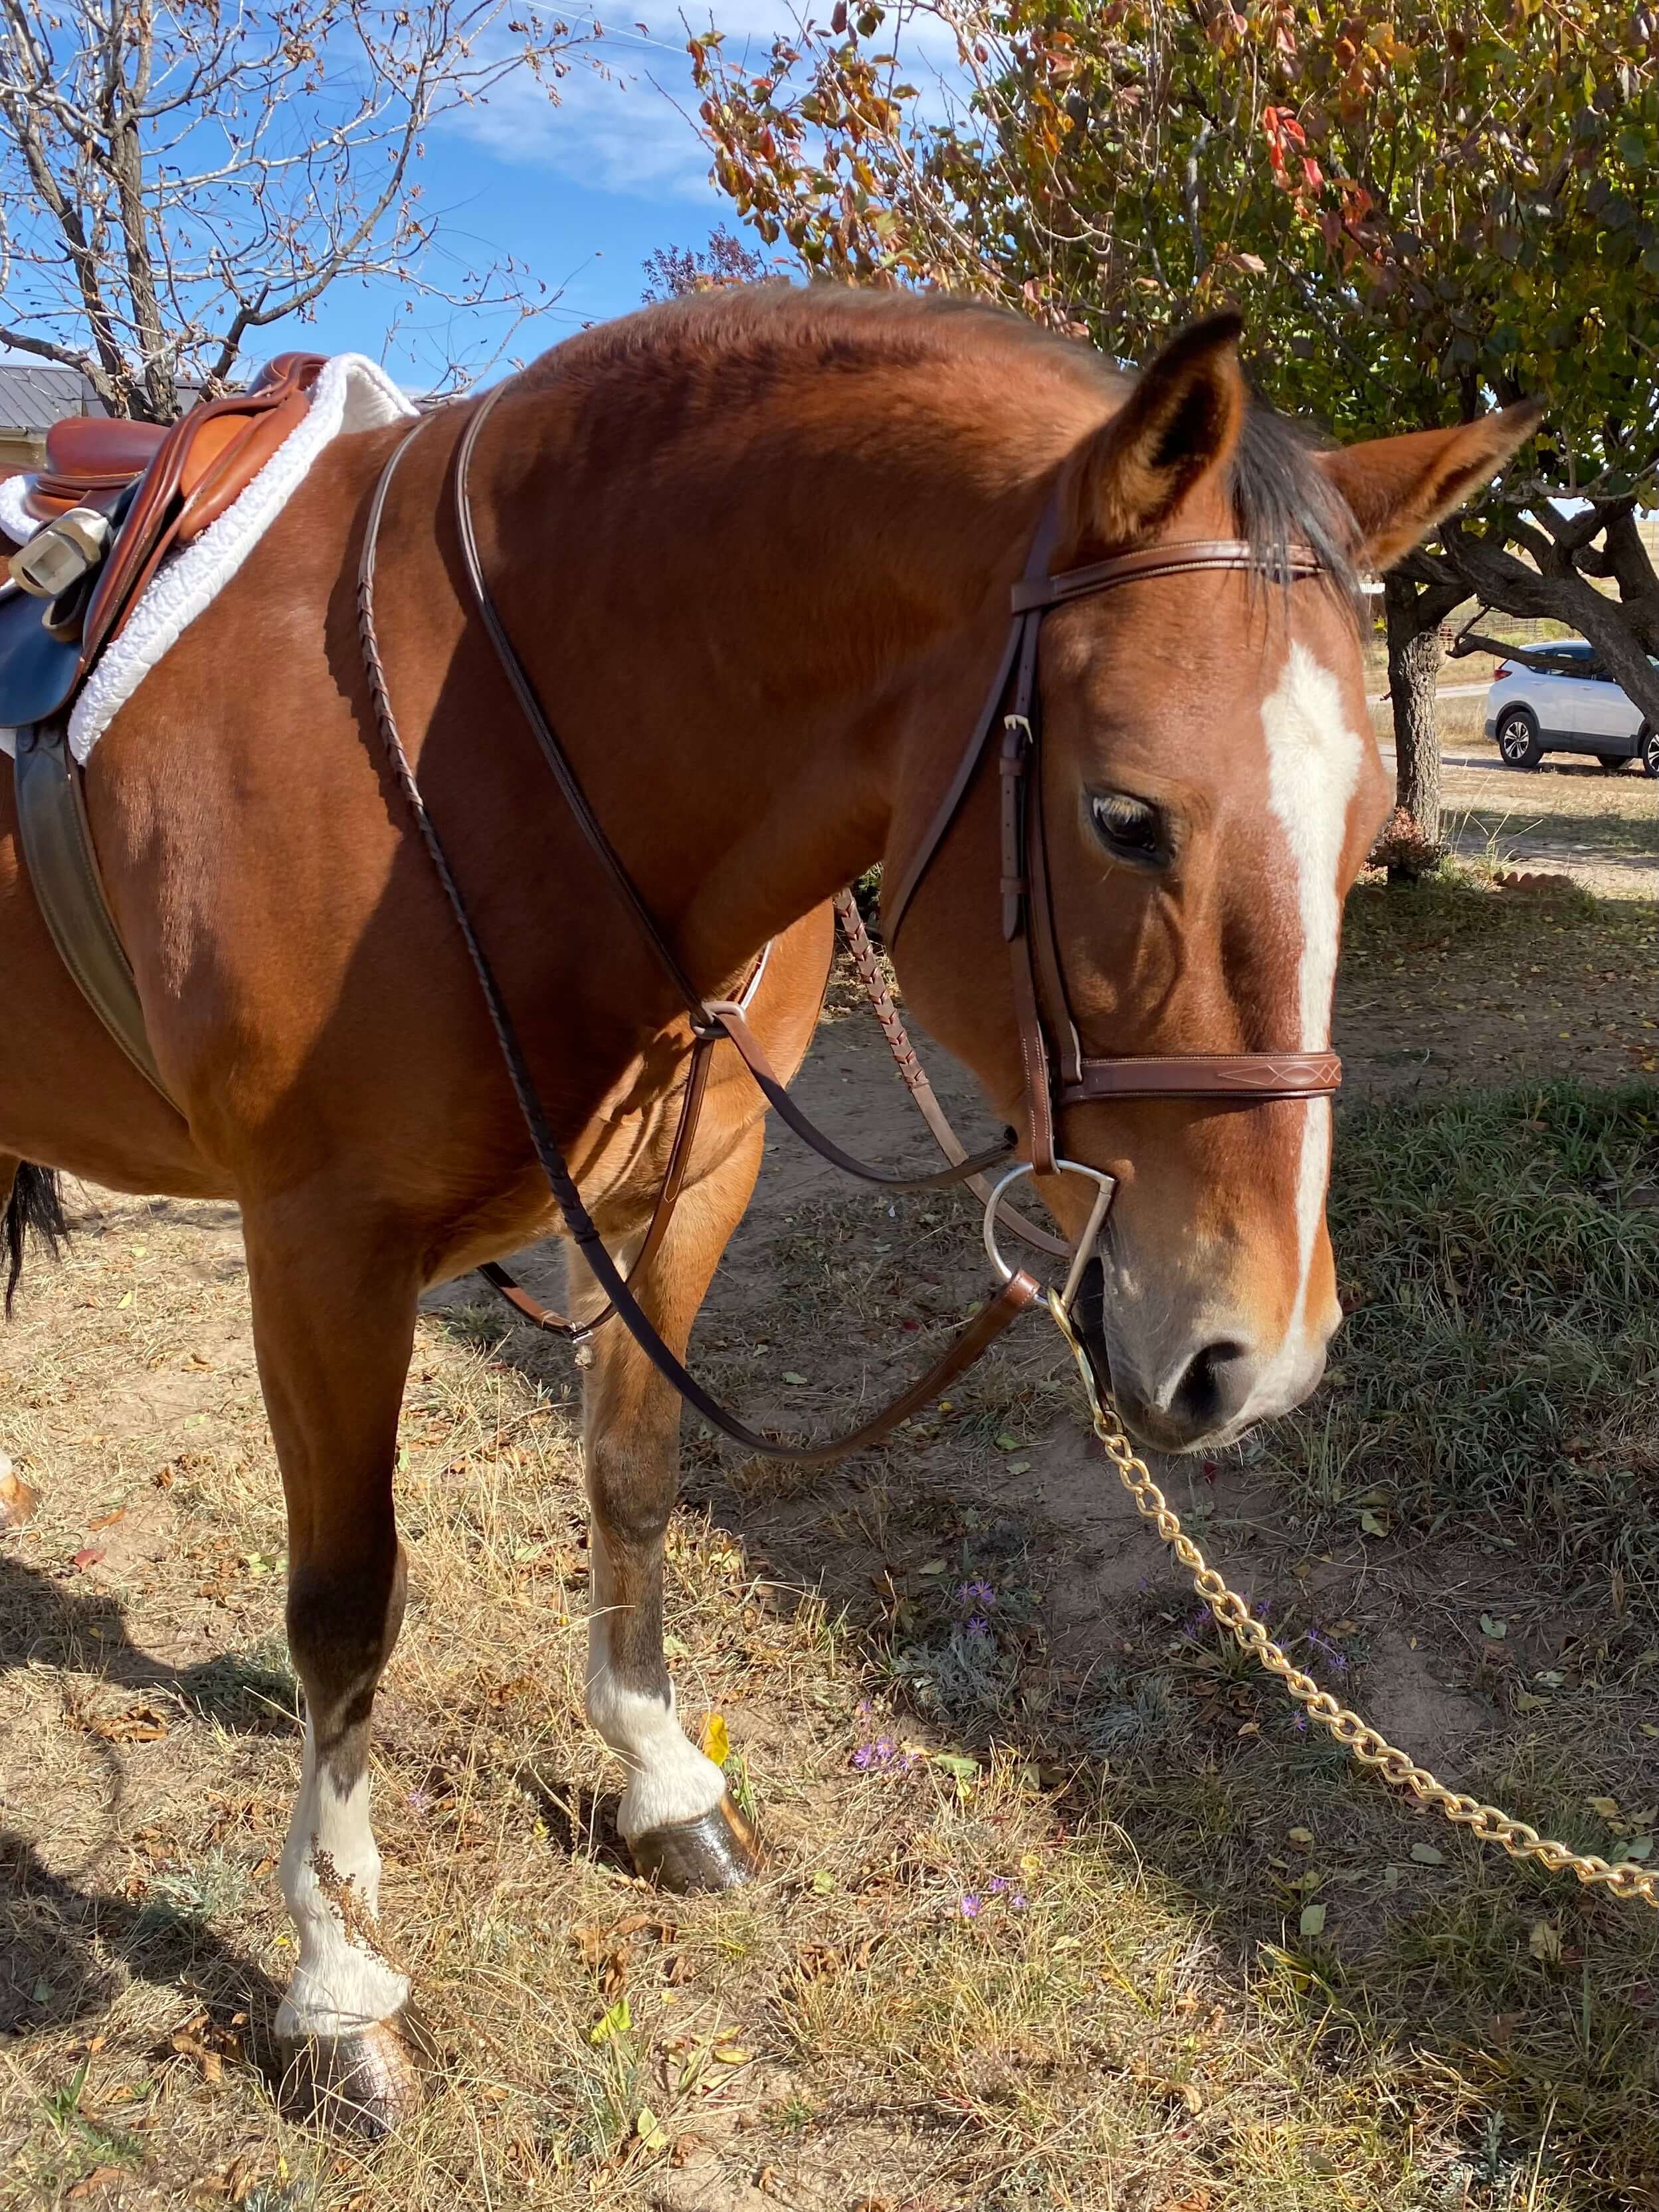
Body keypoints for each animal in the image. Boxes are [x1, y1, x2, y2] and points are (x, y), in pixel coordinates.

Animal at [0, 285, 1535, 2129]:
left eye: (1370, 823)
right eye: (1123, 817)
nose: (1263, 1356)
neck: (486, 737)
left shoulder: (693, 1182)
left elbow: (632, 1476)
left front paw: (661, 1782)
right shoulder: (318, 1247)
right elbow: (346, 1601)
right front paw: (333, 1981)